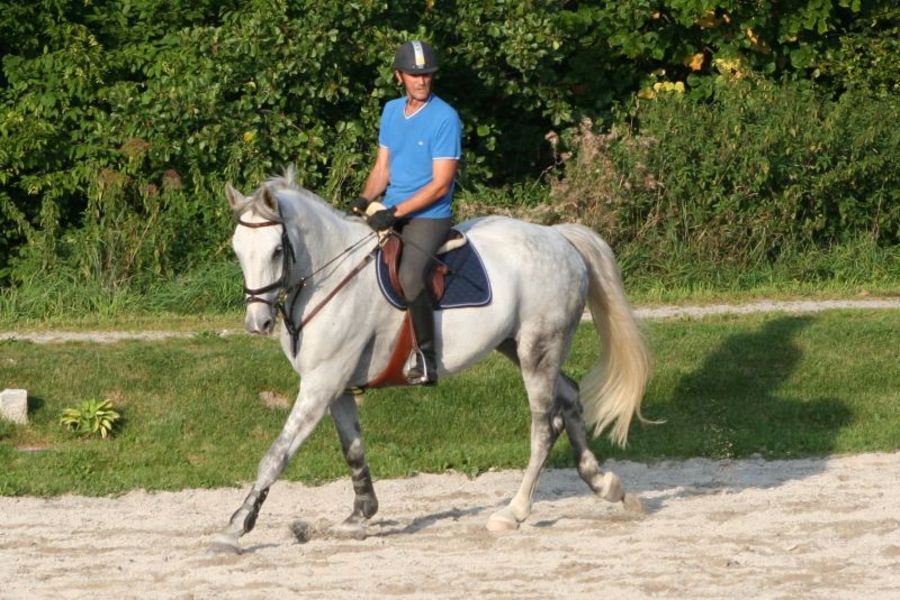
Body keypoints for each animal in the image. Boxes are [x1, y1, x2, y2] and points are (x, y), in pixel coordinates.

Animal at [216, 170, 652, 552]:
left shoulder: (321, 384)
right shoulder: (335, 388)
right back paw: (607, 486)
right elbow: (353, 451)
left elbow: (276, 455)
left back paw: (513, 512)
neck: (331, 277)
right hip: (518, 346)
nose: (257, 323)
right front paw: (359, 516)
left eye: (276, 250)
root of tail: (559, 237)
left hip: (537, 350)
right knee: (571, 397)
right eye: (237, 251)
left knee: (544, 427)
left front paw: (235, 528)